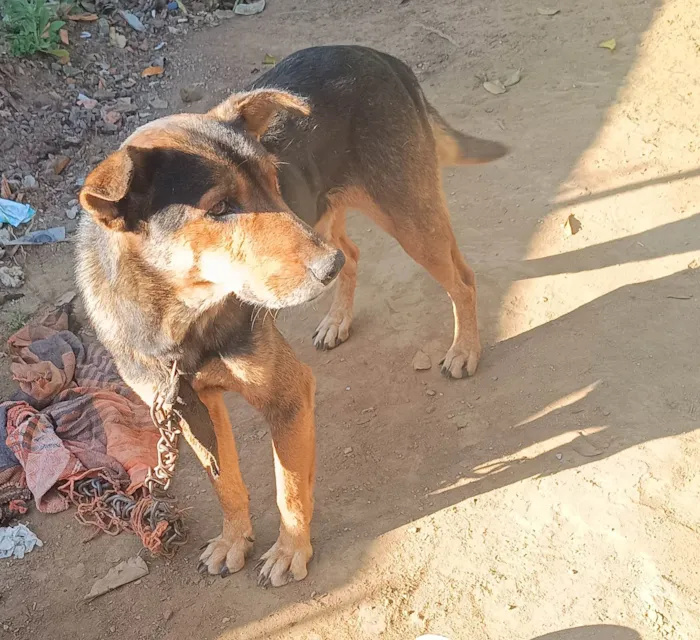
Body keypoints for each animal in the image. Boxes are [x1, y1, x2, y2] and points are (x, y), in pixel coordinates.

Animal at [76, 43, 506, 584]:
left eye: (273, 179)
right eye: (219, 208)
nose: (325, 267)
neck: (180, 322)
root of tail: (374, 54)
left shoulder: (288, 396)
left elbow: (290, 489)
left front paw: (290, 551)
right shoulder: (189, 409)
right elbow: (227, 486)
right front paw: (234, 540)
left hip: (407, 217)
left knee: (458, 278)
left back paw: (464, 348)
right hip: (332, 216)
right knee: (355, 254)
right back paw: (338, 318)